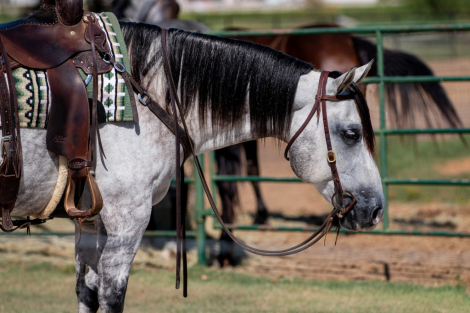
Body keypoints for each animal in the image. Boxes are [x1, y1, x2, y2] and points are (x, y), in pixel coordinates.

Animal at [15, 23, 382, 310]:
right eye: (352, 134)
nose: (376, 208)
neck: (145, 101)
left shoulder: (90, 221)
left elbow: (86, 291)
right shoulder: (126, 219)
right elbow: (111, 296)